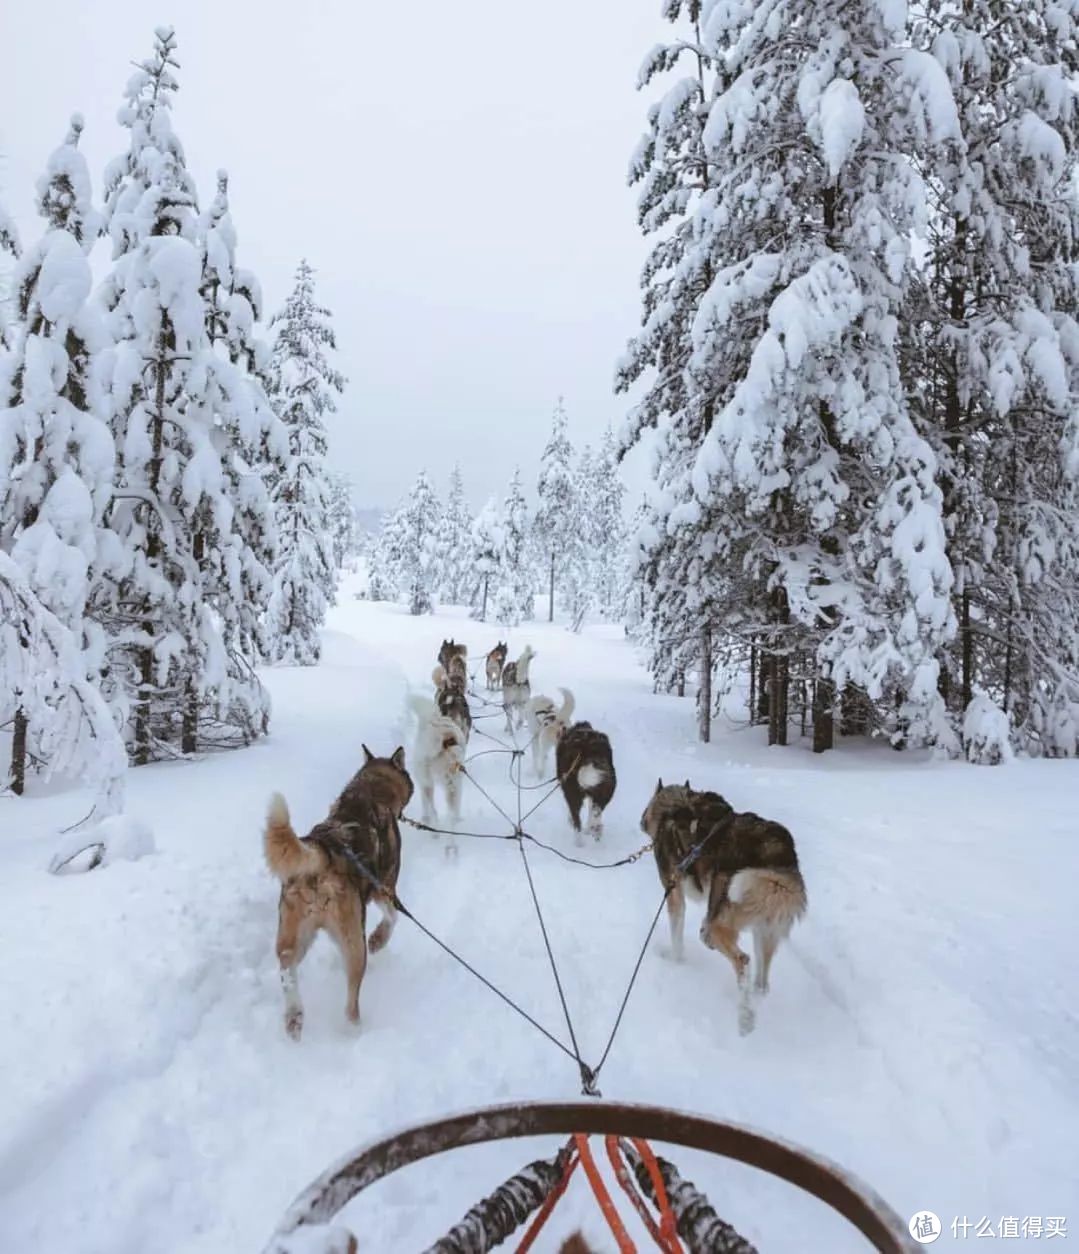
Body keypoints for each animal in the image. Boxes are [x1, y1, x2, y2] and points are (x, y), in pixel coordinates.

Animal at [262, 742, 414, 1038]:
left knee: (286, 964)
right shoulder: (385, 888)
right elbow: (393, 918)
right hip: (353, 940)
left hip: (296, 932)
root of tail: (323, 849)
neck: (369, 790)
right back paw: (354, 1029)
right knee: (350, 1001)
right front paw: (378, 940)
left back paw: (294, 1015)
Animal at [637, 777, 802, 1033]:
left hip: (724, 920)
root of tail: (778, 852)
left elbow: (677, 937)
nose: (641, 821)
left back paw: (746, 1018)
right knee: (761, 980)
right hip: (763, 928)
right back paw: (756, 1001)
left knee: (741, 961)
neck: (673, 807)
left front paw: (675, 960)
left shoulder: (674, 895)